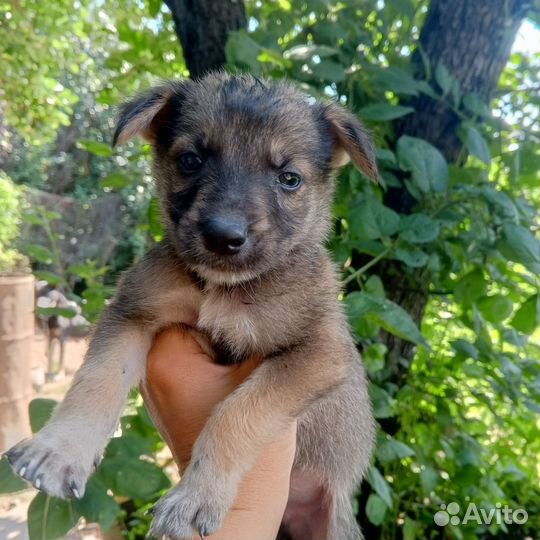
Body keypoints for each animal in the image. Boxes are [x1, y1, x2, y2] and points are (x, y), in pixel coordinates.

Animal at [5, 74, 376, 540]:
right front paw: (58, 452)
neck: (222, 289)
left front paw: (196, 497)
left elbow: (237, 413)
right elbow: (97, 380)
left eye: (290, 178)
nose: (223, 236)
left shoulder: (320, 351)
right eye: (190, 160)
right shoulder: (134, 310)